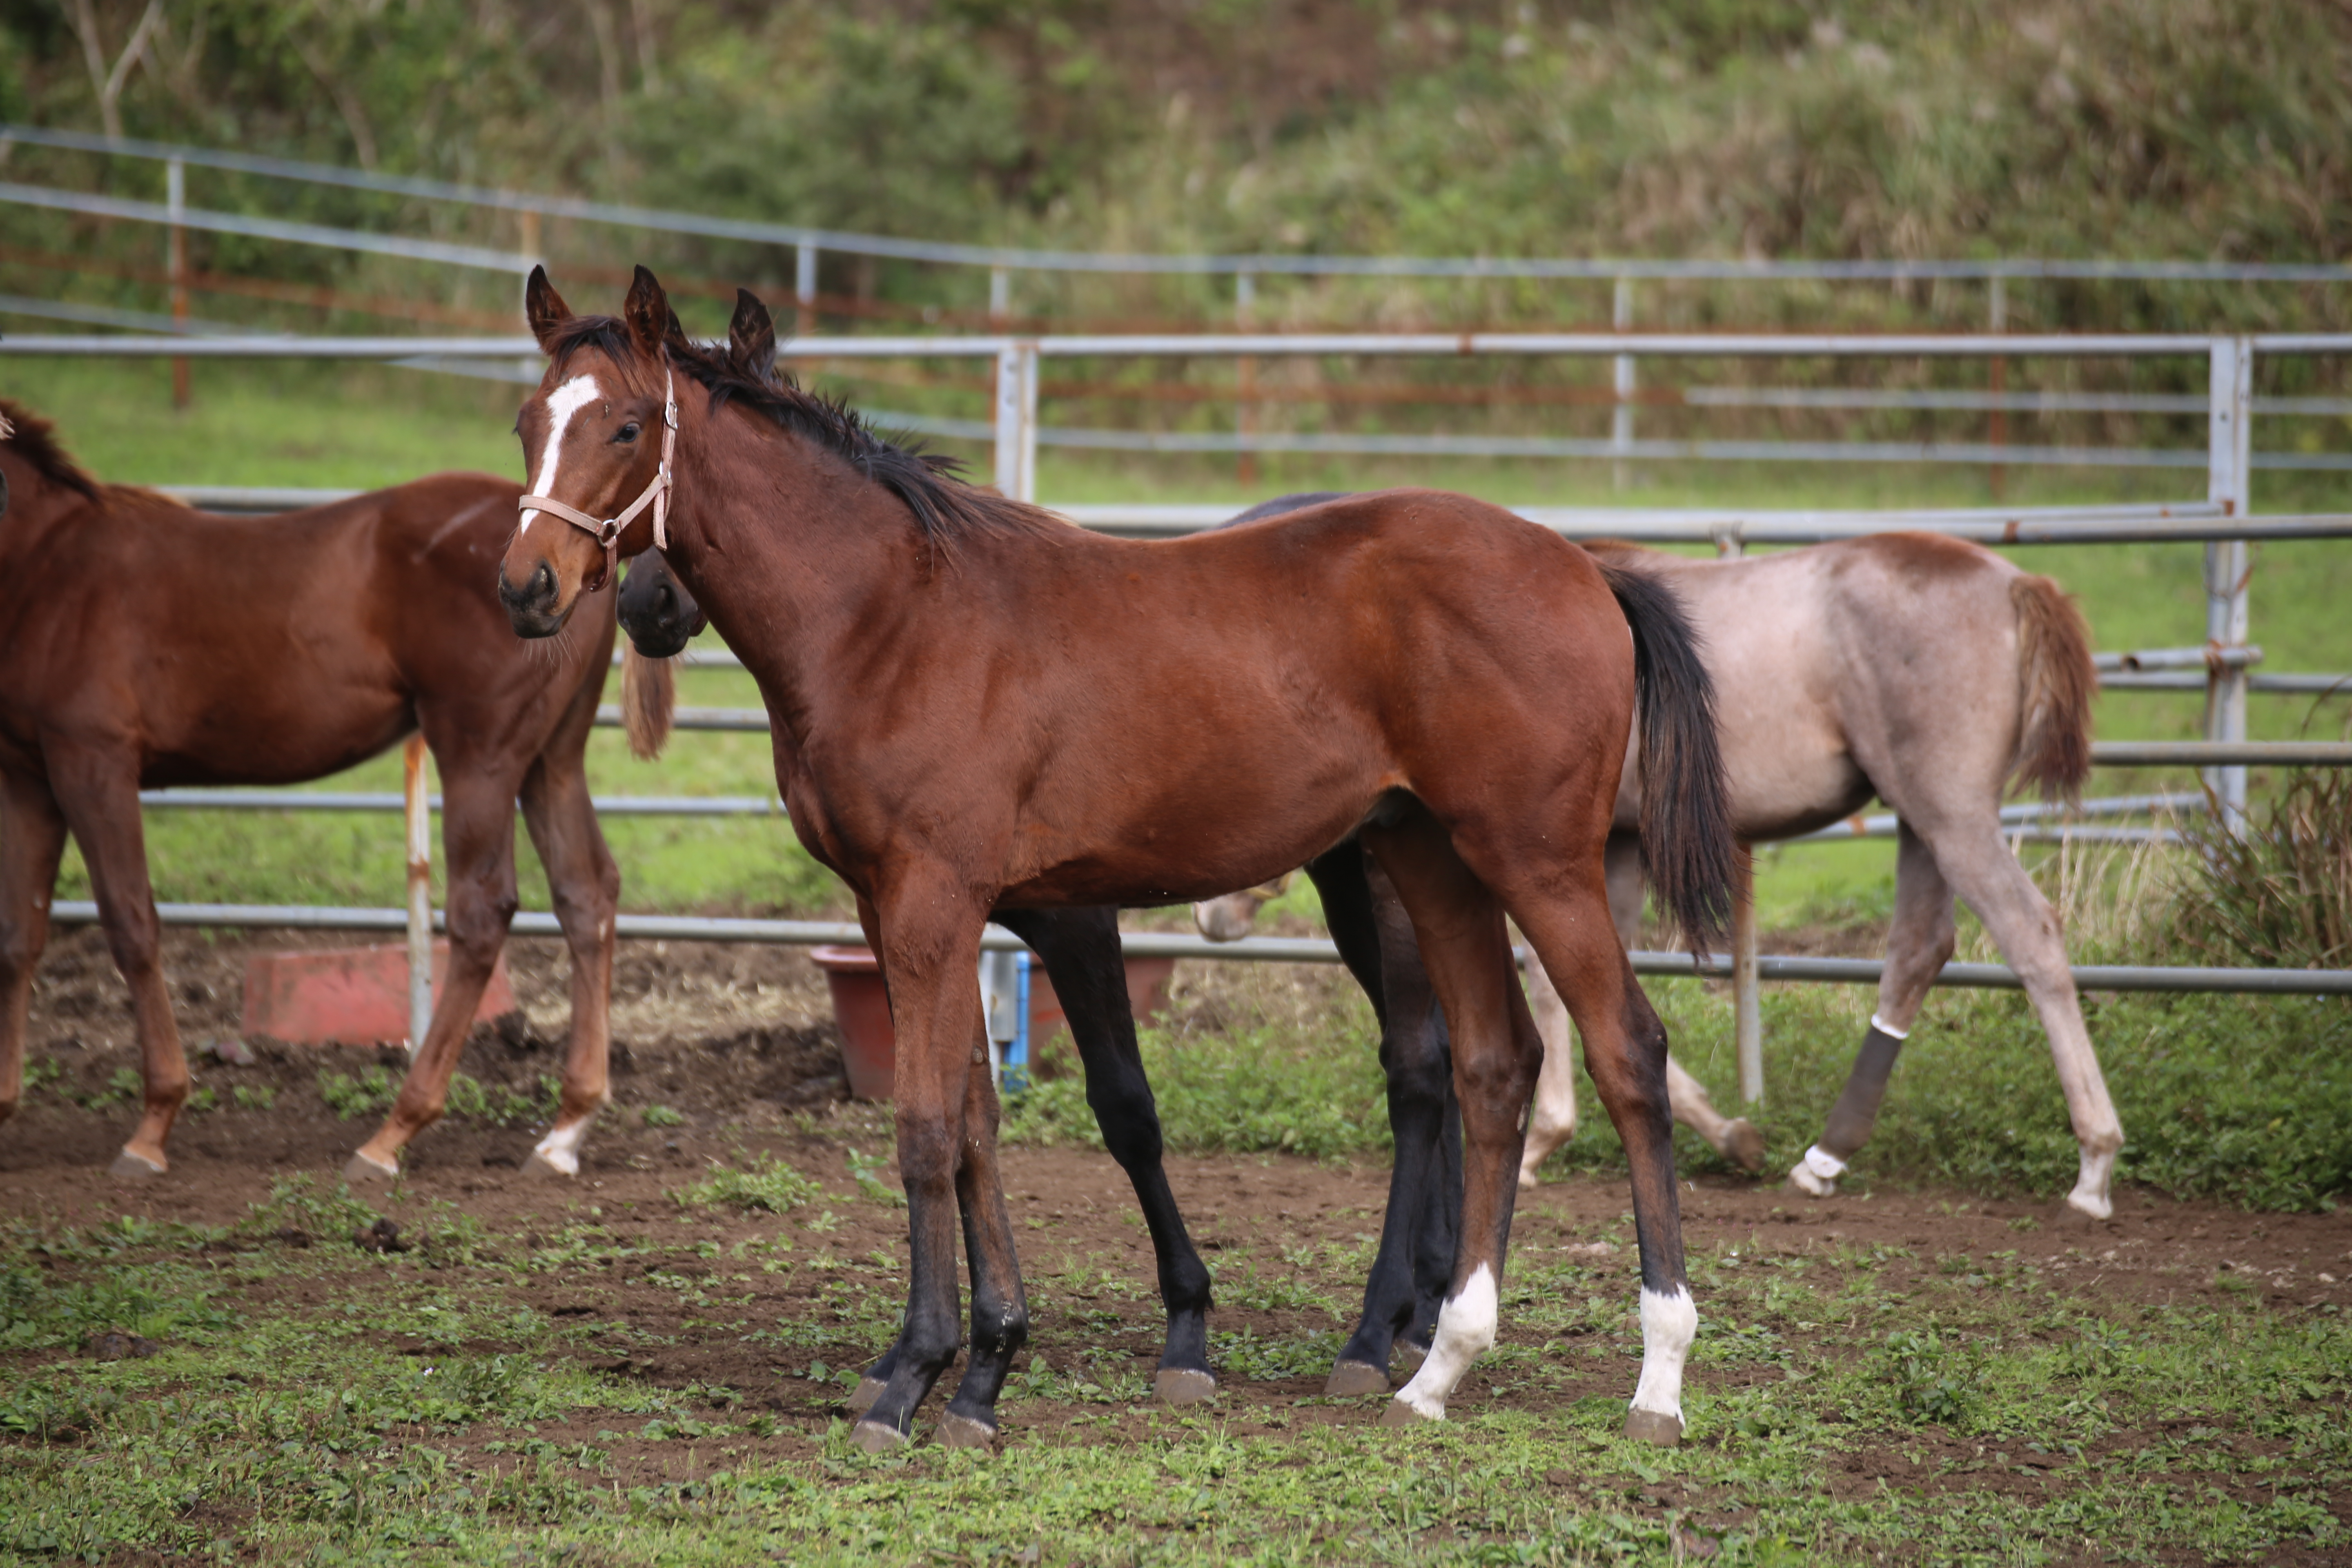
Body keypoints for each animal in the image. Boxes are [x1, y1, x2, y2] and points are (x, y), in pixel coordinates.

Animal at [0, 399, 621, 1185]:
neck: (45, 566)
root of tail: (572, 565)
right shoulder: (28, 779)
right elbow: (18, 938)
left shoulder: (92, 763)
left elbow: (131, 925)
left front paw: (153, 1124)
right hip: (551, 761)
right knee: (585, 894)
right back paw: (566, 1127)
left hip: (481, 755)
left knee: (483, 913)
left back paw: (394, 1132)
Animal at [491, 272, 1750, 1457]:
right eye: (525, 419)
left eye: (622, 427)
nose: (528, 587)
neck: (889, 617)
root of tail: (1585, 569)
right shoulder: (916, 911)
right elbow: (975, 1127)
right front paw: (983, 1371)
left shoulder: (938, 904)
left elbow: (929, 1130)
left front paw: (915, 1378)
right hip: (1429, 859)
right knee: (1490, 1065)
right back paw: (1436, 1365)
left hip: (1534, 862)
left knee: (1622, 1052)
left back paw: (1655, 1377)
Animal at [1204, 496, 2126, 1222]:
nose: (1210, 917)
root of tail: (2013, 583)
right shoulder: (1609, 852)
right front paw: (1725, 1131)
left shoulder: (1553, 856)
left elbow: (1559, 984)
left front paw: (1543, 1140)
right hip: (1919, 820)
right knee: (1918, 952)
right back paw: (1825, 1157)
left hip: (1950, 812)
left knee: (2031, 937)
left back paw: (2093, 1162)